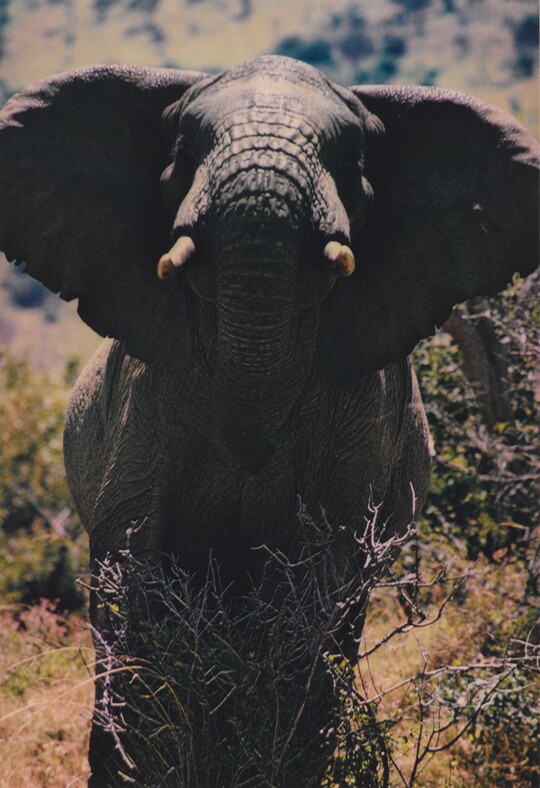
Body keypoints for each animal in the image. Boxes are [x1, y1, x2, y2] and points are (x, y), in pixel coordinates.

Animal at [0, 55, 538, 785]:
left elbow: (320, 586)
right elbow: (134, 566)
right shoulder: (143, 402)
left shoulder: (361, 418)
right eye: (183, 150)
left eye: (352, 161)